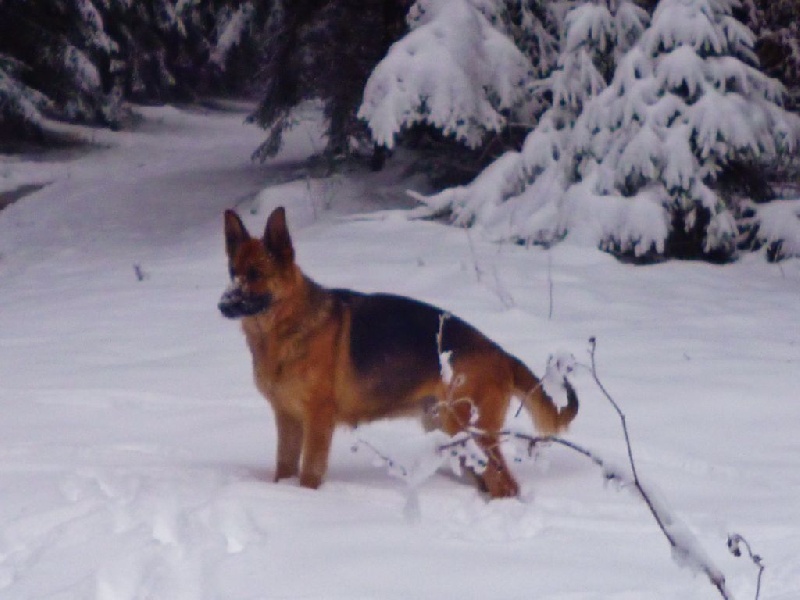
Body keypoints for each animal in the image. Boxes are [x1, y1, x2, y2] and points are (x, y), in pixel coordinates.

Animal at [222, 206, 580, 496]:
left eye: (256, 274)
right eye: (233, 273)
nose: (222, 305)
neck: (288, 325)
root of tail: (500, 352)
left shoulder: (317, 422)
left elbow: (309, 475)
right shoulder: (287, 420)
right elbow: (283, 468)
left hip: (468, 432)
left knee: (505, 484)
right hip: (449, 432)